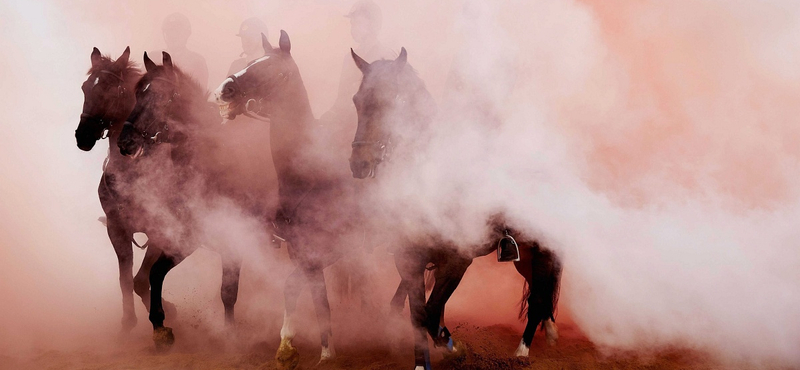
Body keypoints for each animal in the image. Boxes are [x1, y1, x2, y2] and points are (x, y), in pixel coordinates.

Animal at [74, 46, 173, 332]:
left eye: (111, 90)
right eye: (85, 87)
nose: (83, 136)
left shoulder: (160, 232)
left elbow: (142, 280)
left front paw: (166, 313)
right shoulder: (117, 229)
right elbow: (126, 279)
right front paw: (128, 320)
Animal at [117, 52, 244, 350]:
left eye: (162, 97)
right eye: (137, 94)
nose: (125, 142)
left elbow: (228, 290)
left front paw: (231, 334)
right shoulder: (186, 234)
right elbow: (154, 274)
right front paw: (160, 326)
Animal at [212, 31, 362, 368]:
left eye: (274, 71)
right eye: (253, 61)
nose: (224, 89)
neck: (310, 177)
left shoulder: (322, 253)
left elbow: (317, 300)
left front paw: (325, 352)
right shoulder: (301, 253)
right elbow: (296, 289)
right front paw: (286, 344)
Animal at [350, 48, 564, 368]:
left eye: (392, 101)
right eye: (357, 101)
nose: (359, 164)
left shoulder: (457, 261)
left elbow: (429, 314)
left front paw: (452, 346)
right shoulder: (408, 261)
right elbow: (418, 315)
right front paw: (421, 361)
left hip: (541, 249)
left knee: (539, 294)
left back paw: (523, 351)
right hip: (523, 254)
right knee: (539, 288)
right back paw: (548, 330)